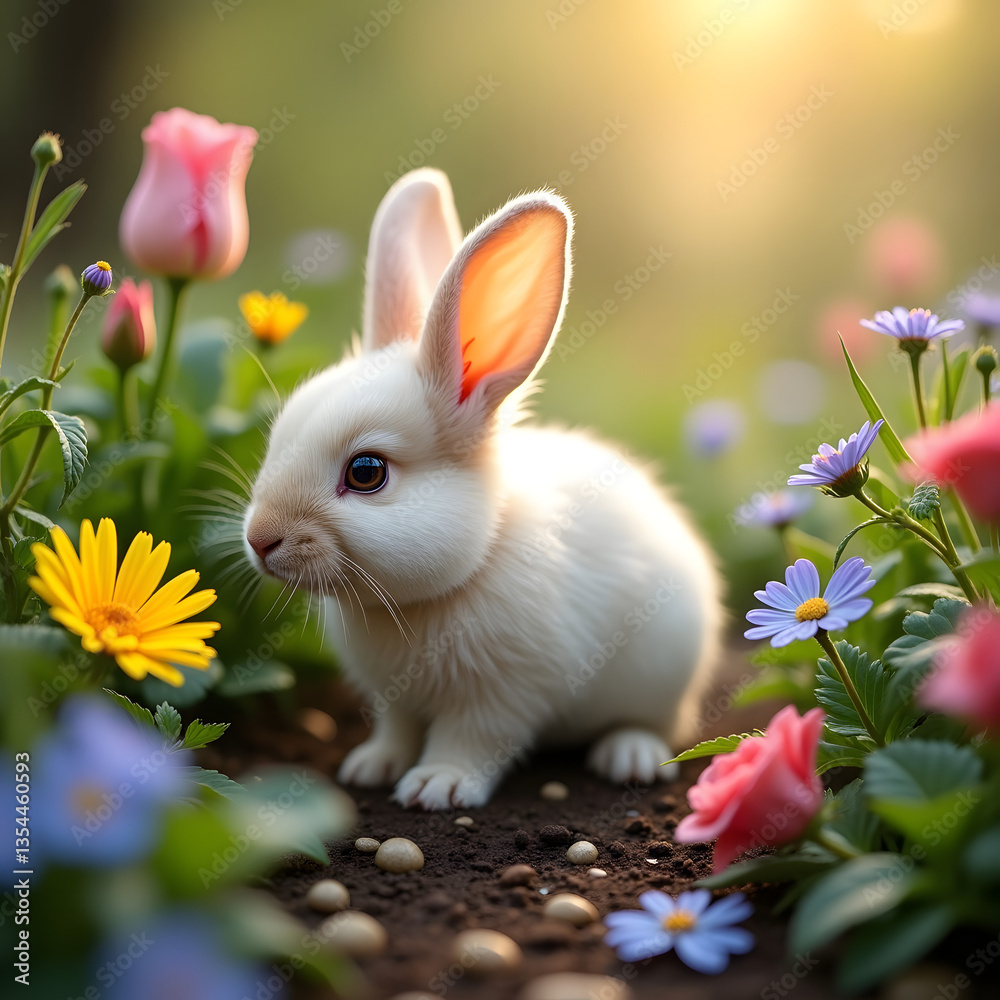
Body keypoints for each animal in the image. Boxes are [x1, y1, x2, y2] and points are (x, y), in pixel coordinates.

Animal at [243, 168, 723, 810]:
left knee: (657, 723)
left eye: (366, 472)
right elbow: (396, 729)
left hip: (662, 671)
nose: (259, 540)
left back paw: (628, 756)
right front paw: (371, 767)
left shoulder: (502, 695)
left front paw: (435, 787)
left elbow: (471, 741)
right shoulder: (396, 699)